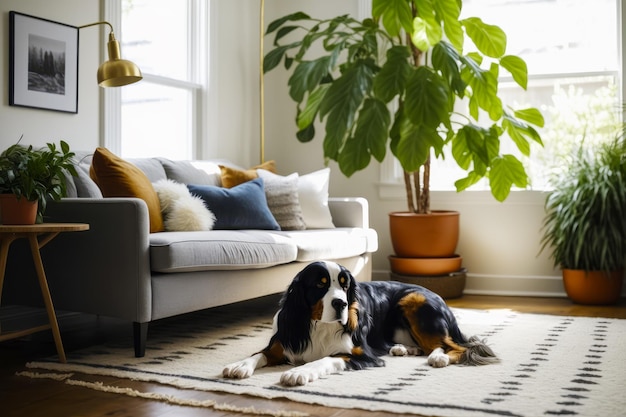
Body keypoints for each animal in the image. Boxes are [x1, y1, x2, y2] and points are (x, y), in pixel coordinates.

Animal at [222, 262, 494, 386]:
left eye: (345, 285)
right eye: (320, 284)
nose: (341, 303)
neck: (318, 324)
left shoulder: (362, 354)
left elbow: (327, 358)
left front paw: (300, 372)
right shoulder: (284, 341)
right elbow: (259, 354)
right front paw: (239, 365)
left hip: (414, 300)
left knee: (457, 346)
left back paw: (439, 357)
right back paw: (404, 348)